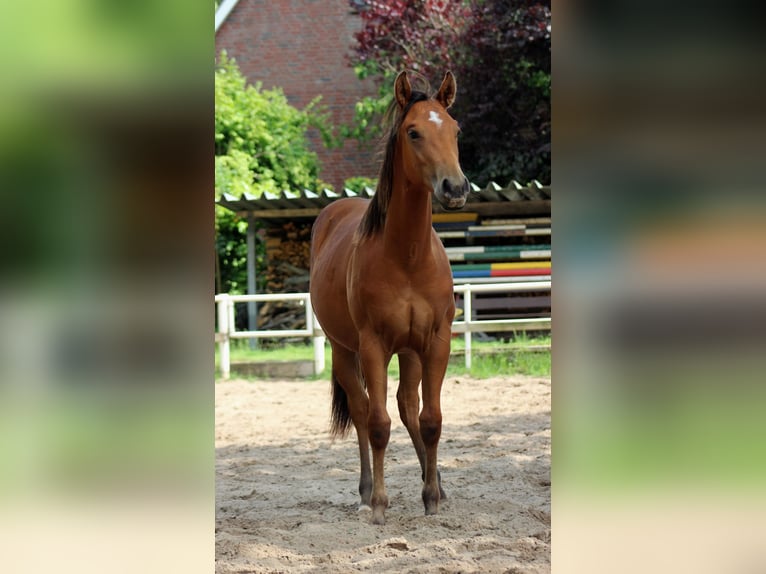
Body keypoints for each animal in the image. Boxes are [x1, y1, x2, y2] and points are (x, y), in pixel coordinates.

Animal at [309, 70, 470, 525]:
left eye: (455, 130)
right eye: (413, 132)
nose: (455, 187)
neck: (407, 256)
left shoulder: (435, 342)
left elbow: (431, 419)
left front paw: (432, 496)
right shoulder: (373, 346)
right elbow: (378, 424)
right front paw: (380, 503)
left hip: (410, 351)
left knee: (408, 407)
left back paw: (435, 483)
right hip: (344, 350)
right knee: (364, 411)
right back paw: (366, 492)